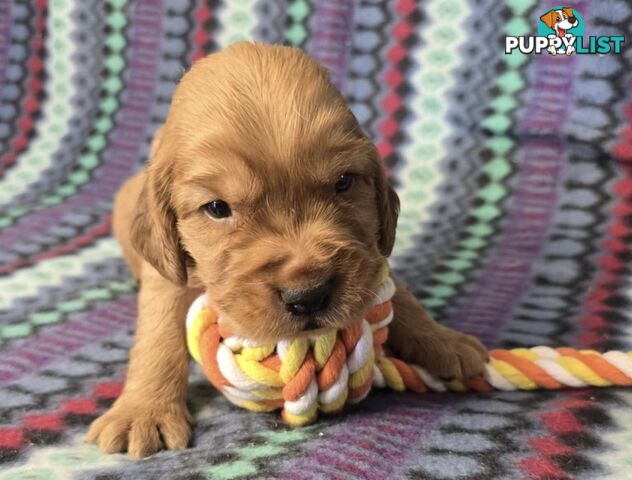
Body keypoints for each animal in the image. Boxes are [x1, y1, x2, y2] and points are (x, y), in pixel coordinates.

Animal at [85, 42, 488, 458]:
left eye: (343, 182)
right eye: (217, 208)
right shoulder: (166, 273)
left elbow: (401, 295)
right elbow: (158, 331)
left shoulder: (369, 252)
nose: (308, 297)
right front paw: (143, 411)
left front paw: (443, 341)